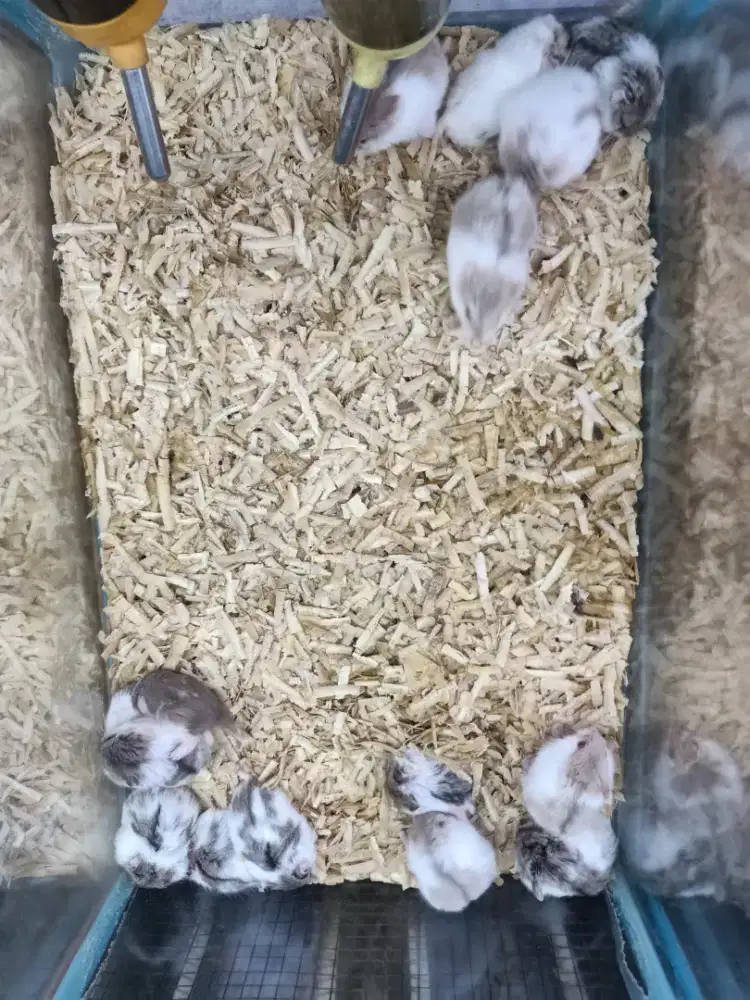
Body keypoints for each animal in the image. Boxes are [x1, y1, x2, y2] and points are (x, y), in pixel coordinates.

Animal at [101, 669, 233, 789]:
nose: (101, 748)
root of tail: (216, 712)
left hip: (164, 713)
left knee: (192, 738)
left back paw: (175, 755)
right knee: (207, 737)